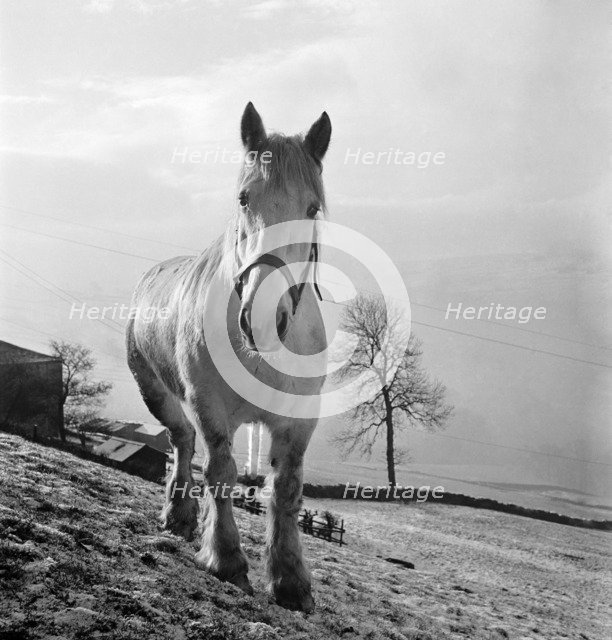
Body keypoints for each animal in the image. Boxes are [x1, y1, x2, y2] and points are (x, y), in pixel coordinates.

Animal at [126, 102, 331, 612]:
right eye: (243, 199)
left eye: (311, 208)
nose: (261, 318)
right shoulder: (209, 407)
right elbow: (220, 472)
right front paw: (225, 557)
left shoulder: (298, 422)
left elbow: (286, 490)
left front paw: (290, 578)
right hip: (158, 394)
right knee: (181, 441)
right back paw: (178, 513)